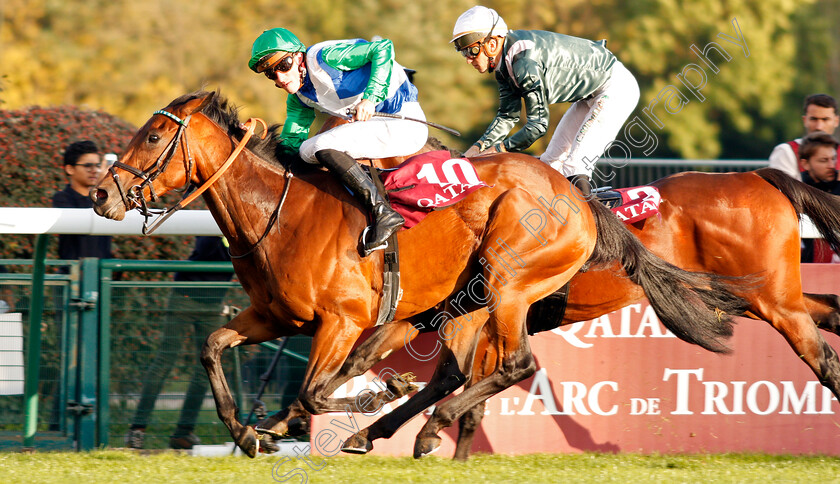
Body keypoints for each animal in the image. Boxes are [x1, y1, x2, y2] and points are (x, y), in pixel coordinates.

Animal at [92, 91, 748, 458]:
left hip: (508, 284)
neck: (280, 212)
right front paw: (249, 431)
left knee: (515, 364)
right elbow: (211, 346)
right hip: (465, 300)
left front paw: (372, 396)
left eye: (154, 133)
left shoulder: (339, 321)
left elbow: (315, 388)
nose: (100, 194)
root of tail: (581, 200)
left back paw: (430, 424)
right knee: (461, 370)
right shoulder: (275, 315)